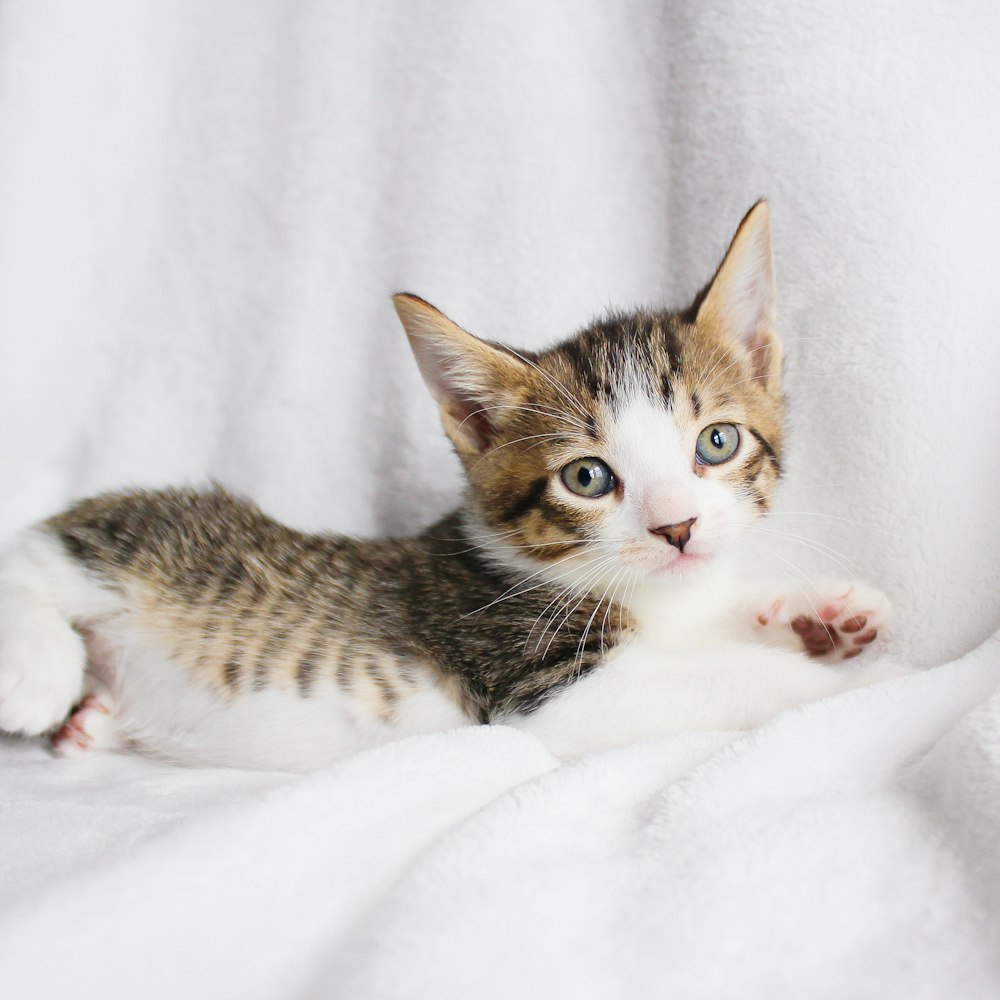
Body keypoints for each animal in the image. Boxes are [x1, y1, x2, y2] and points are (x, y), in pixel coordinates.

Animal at [0, 201, 904, 764]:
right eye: (587, 477)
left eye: (716, 443)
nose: (676, 527)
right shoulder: (535, 685)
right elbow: (738, 676)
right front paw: (857, 679)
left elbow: (718, 623)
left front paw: (819, 612)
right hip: (158, 540)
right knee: (43, 547)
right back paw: (38, 677)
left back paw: (91, 723)